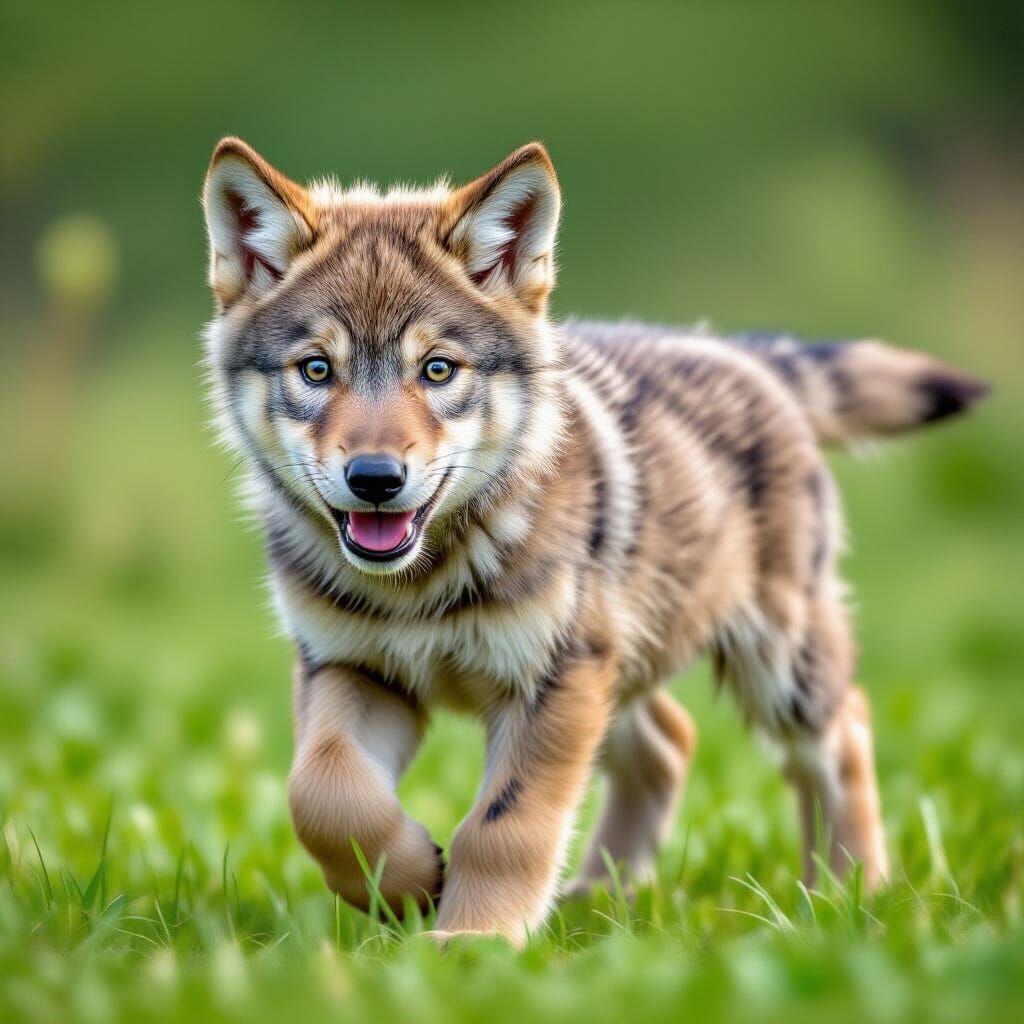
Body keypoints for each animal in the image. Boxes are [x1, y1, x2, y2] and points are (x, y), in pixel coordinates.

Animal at [201, 138, 988, 944]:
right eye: (316, 370)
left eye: (438, 369)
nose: (375, 479)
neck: (424, 583)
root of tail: (745, 355)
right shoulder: (348, 666)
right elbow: (323, 794)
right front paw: (411, 882)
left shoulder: (553, 678)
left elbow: (506, 825)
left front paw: (474, 941)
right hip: (623, 668)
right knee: (672, 743)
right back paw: (599, 901)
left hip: (772, 658)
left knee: (843, 734)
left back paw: (849, 896)